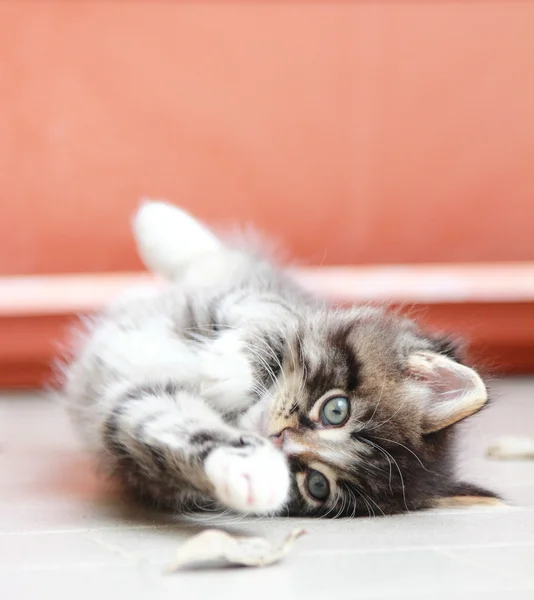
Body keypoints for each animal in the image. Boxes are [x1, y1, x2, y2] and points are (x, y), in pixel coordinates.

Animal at [60, 200, 500, 516]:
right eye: (336, 410)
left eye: (317, 485)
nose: (277, 440)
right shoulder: (265, 304)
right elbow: (271, 321)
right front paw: (228, 369)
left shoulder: (134, 408)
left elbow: (180, 429)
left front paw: (251, 473)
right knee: (212, 259)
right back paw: (158, 224)